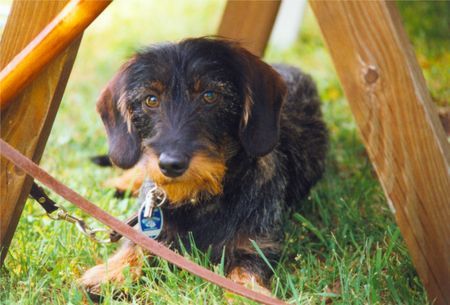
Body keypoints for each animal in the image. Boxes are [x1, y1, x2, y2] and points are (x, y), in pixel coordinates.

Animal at [80, 38, 326, 296]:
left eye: (210, 95)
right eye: (151, 100)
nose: (170, 164)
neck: (200, 199)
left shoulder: (258, 243)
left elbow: (247, 270)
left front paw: (246, 293)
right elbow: (137, 243)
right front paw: (113, 272)